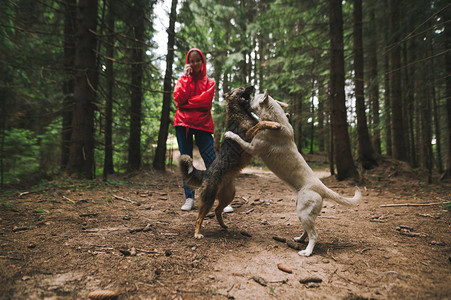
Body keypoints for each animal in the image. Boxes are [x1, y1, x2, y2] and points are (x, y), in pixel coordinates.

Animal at [179, 86, 278, 239]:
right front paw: (275, 124)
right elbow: (262, 123)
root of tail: (206, 173)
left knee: (217, 210)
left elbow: (262, 121)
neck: (240, 113)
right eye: (240, 89)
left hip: (229, 195)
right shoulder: (247, 136)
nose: (251, 86)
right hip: (208, 199)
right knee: (199, 217)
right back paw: (197, 233)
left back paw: (223, 225)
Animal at [224, 90, 362, 256]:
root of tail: (322, 189)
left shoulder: (252, 147)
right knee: (308, 230)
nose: (248, 96)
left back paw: (307, 252)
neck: (275, 118)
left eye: (254, 97)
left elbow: (239, 138)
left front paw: (229, 134)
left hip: (304, 212)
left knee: (314, 234)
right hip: (303, 212)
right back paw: (300, 239)